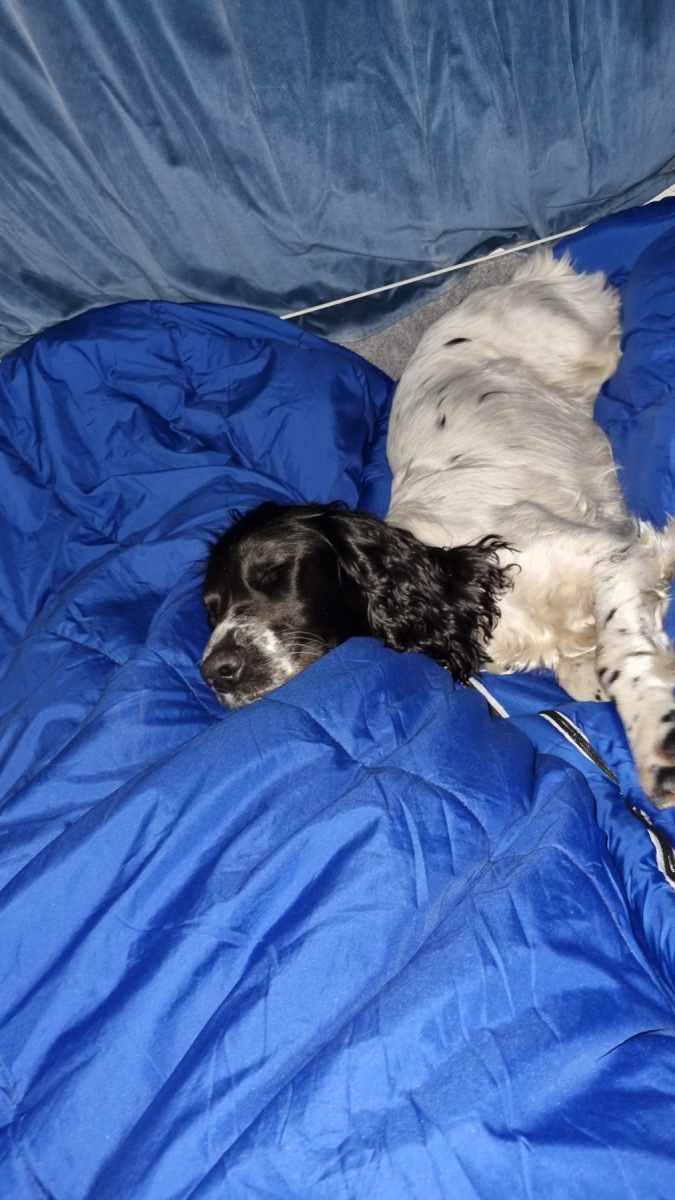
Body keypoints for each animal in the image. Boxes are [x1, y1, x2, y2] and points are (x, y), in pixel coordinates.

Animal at [201, 250, 675, 809]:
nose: (215, 672)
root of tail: (515, 277)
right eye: (211, 610)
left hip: (587, 344)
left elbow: (619, 649)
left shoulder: (610, 550)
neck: (460, 577)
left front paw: (655, 736)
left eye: (276, 573)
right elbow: (586, 669)